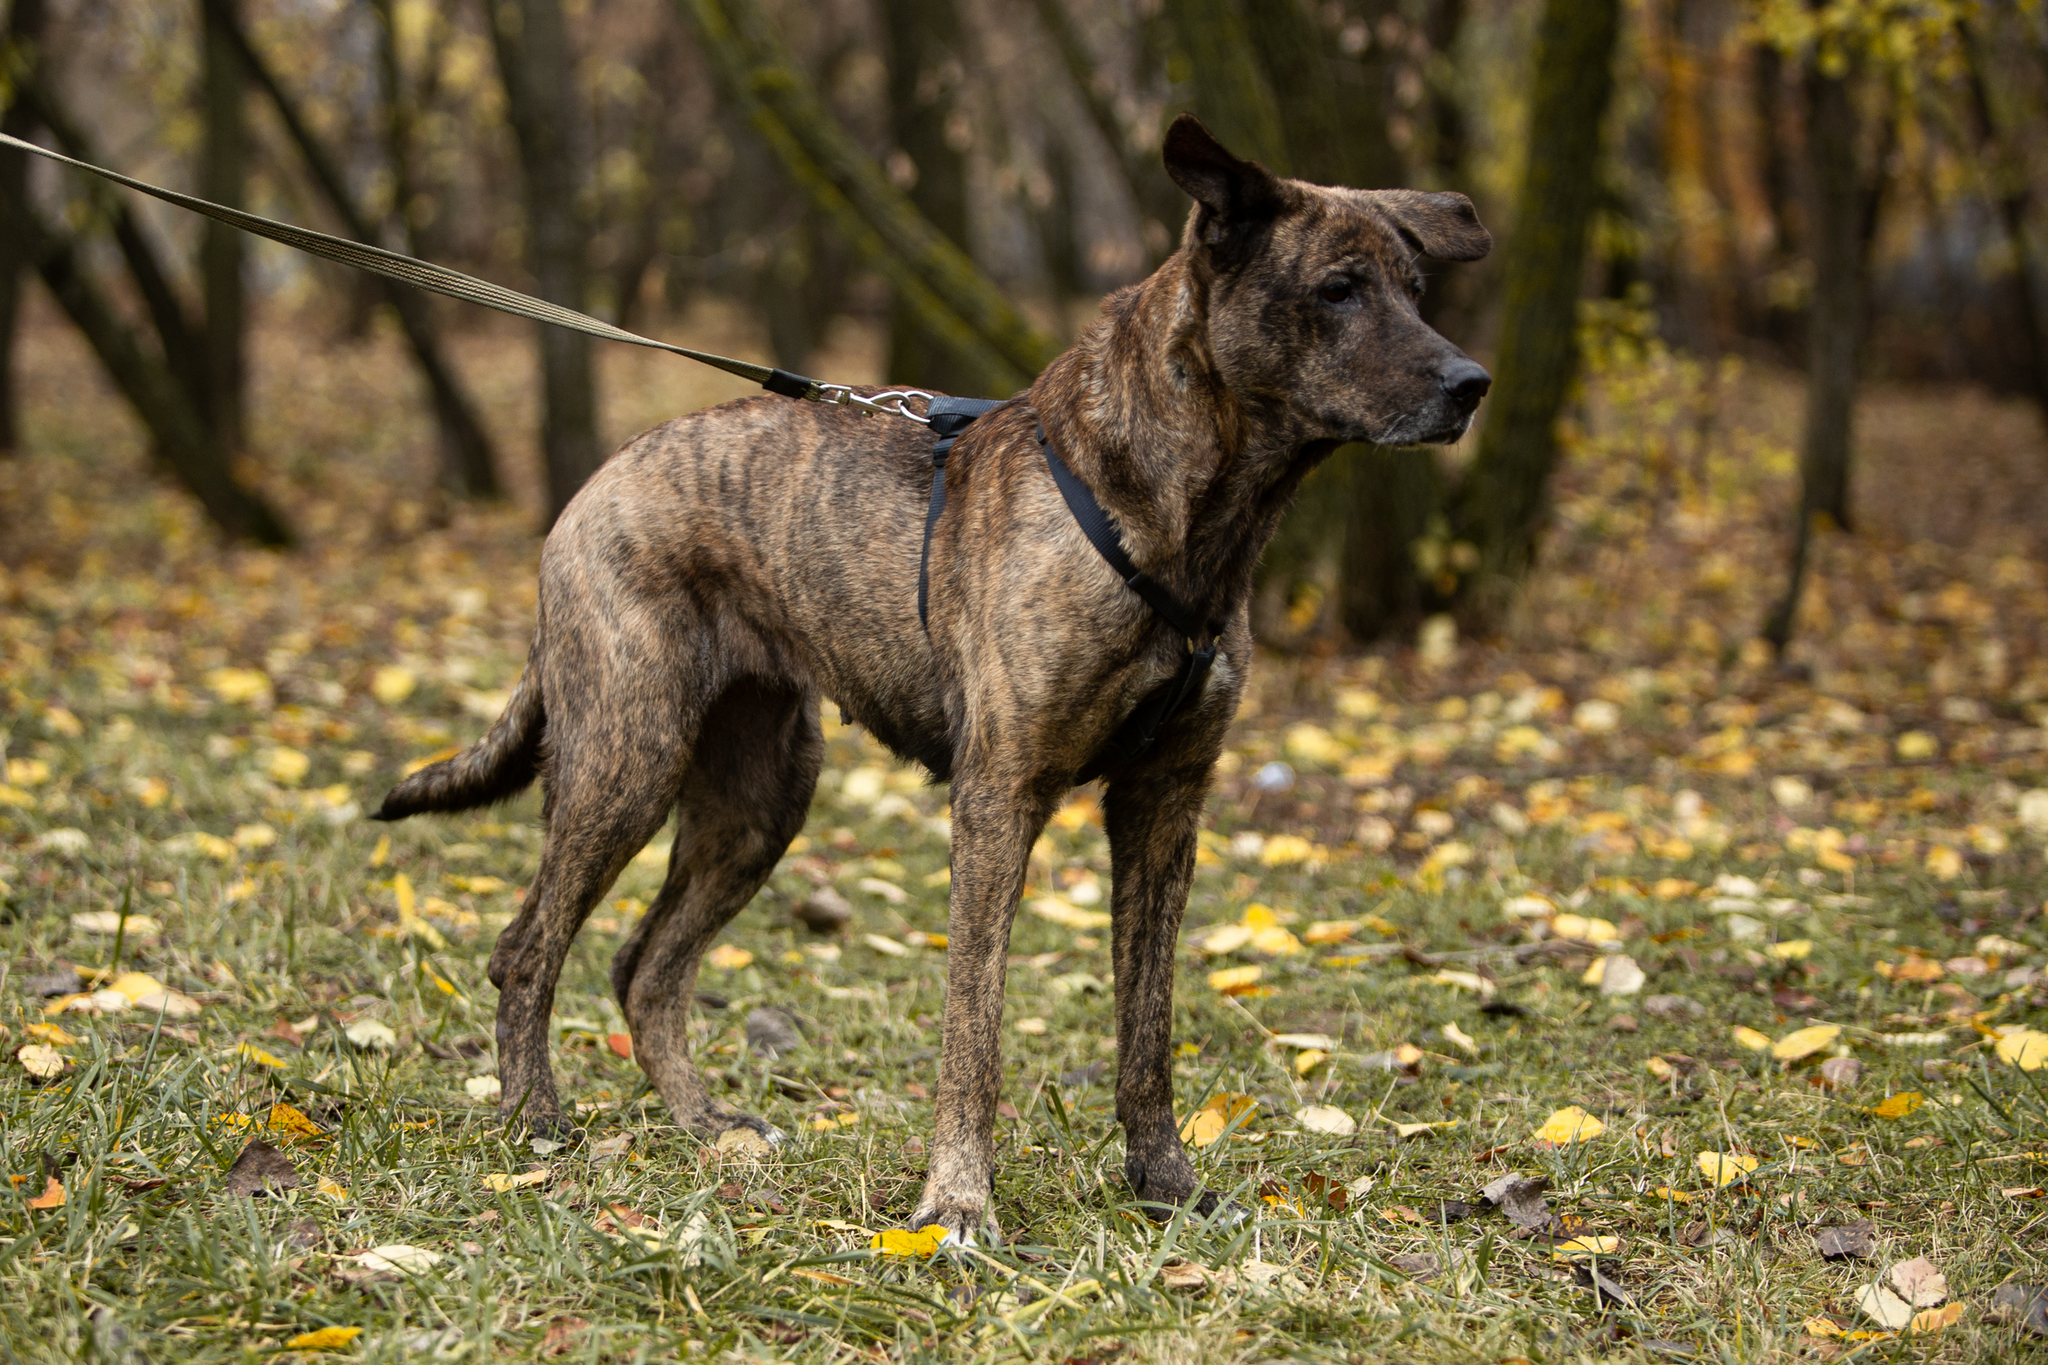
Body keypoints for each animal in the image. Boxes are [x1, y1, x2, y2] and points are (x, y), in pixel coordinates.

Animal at [372, 120, 1490, 1252]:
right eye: (1338, 288)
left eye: (1414, 287)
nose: (1471, 383)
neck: (1182, 517)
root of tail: (591, 487)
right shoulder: (998, 798)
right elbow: (974, 1030)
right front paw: (955, 1203)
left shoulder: (1164, 805)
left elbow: (1148, 1027)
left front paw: (1164, 1184)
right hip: (626, 760)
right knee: (527, 948)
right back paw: (532, 1121)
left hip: (760, 801)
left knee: (646, 969)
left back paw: (705, 1128)